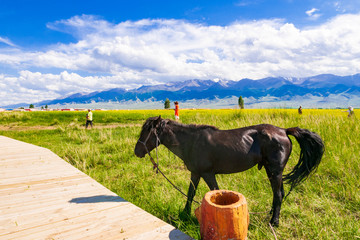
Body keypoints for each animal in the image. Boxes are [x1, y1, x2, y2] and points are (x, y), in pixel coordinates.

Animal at [134, 116, 324, 225]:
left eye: (147, 132)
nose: (137, 151)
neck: (192, 142)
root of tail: (284, 131)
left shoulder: (208, 173)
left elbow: (215, 192)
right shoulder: (196, 173)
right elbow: (190, 193)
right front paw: (184, 214)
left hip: (275, 171)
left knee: (277, 194)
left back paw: (274, 222)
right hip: (272, 172)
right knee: (280, 193)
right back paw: (271, 215)